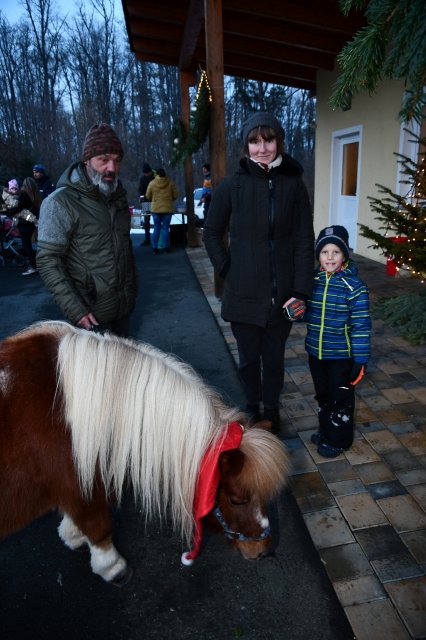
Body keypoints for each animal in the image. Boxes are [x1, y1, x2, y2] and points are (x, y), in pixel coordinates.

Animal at [0, 324, 290, 584]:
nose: (262, 550)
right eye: (237, 500)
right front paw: (112, 567)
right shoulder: (81, 487)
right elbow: (99, 526)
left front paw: (72, 534)